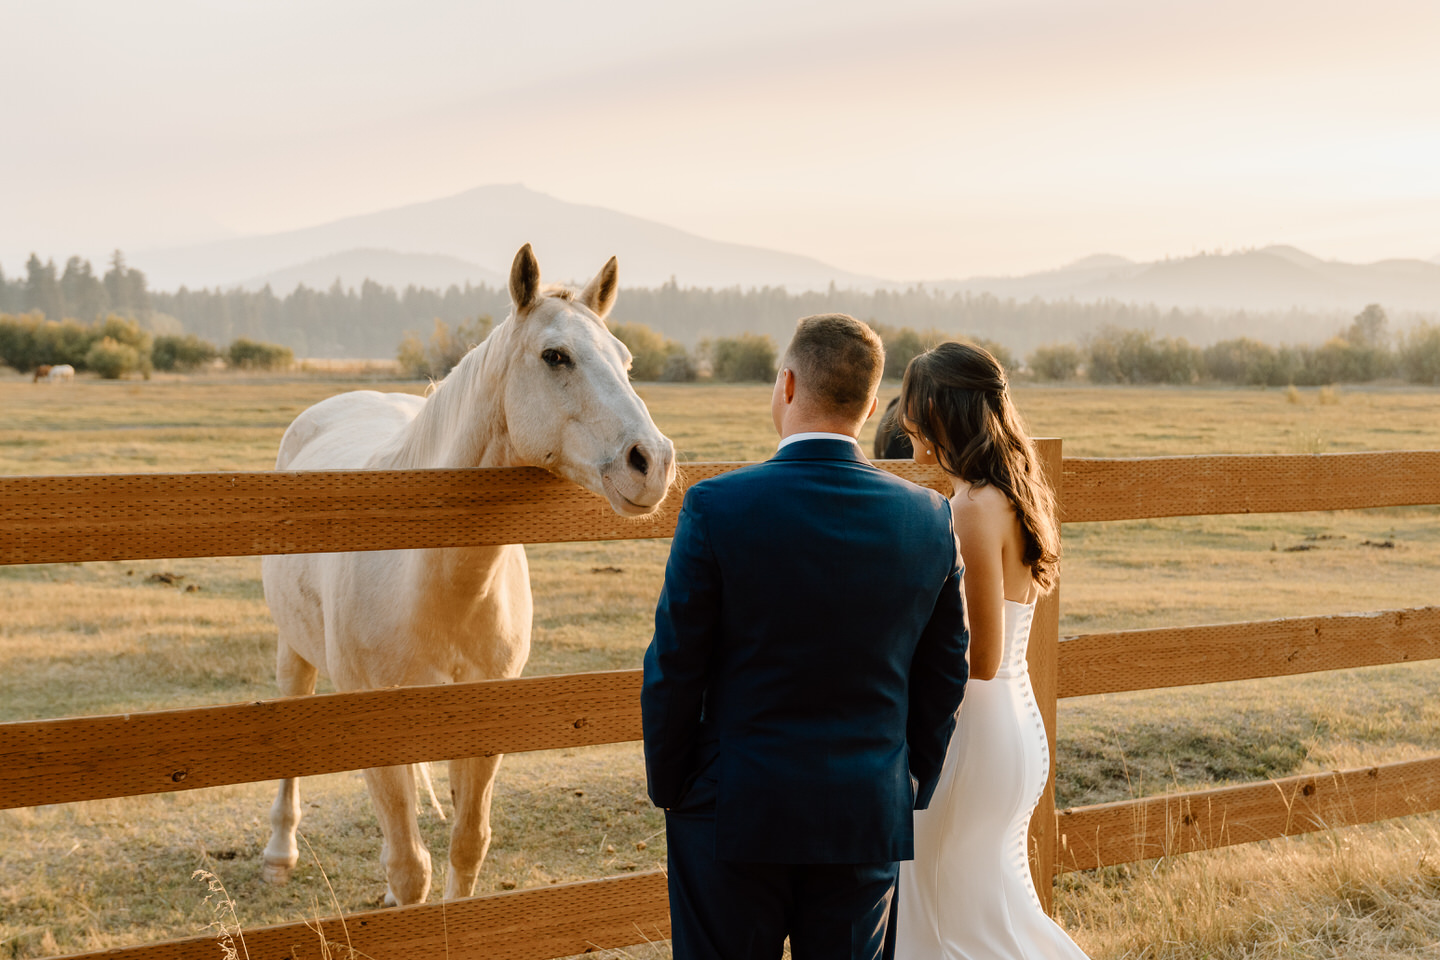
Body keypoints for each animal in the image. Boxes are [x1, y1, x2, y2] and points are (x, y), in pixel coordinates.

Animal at [257, 246, 673, 909]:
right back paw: (279, 855)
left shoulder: (484, 723)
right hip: (294, 653)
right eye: (555, 356)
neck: (434, 584)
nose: (652, 461)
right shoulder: (376, 727)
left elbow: (466, 846)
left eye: (626, 361)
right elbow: (409, 866)